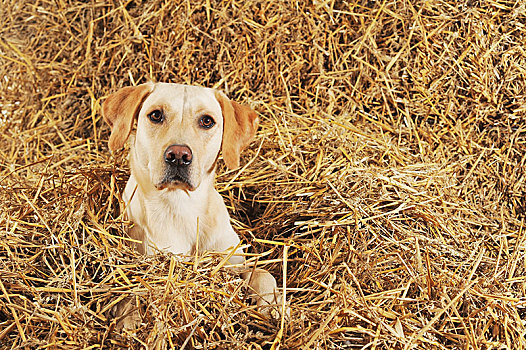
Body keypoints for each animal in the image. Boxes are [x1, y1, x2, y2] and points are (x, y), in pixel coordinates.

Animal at [100, 83, 280, 330]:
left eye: (207, 121)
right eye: (156, 115)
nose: (178, 155)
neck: (180, 207)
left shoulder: (233, 263)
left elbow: (263, 273)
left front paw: (271, 307)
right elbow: (130, 292)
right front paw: (129, 320)